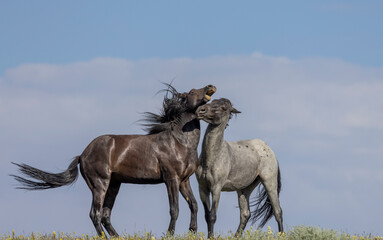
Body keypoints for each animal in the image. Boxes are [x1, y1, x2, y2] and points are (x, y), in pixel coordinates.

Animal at [11, 84, 216, 236]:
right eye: (192, 92)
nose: (210, 86)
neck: (179, 141)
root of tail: (82, 155)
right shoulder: (171, 179)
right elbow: (175, 208)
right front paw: (170, 234)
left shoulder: (184, 180)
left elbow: (194, 205)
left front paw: (192, 231)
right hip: (100, 184)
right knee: (95, 214)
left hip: (114, 184)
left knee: (105, 215)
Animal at [196, 98, 284, 237]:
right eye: (213, 101)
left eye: (223, 108)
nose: (201, 110)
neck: (211, 158)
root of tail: (268, 148)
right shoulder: (202, 188)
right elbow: (207, 215)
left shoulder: (216, 188)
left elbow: (212, 216)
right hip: (244, 189)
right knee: (245, 214)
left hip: (269, 182)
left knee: (277, 211)